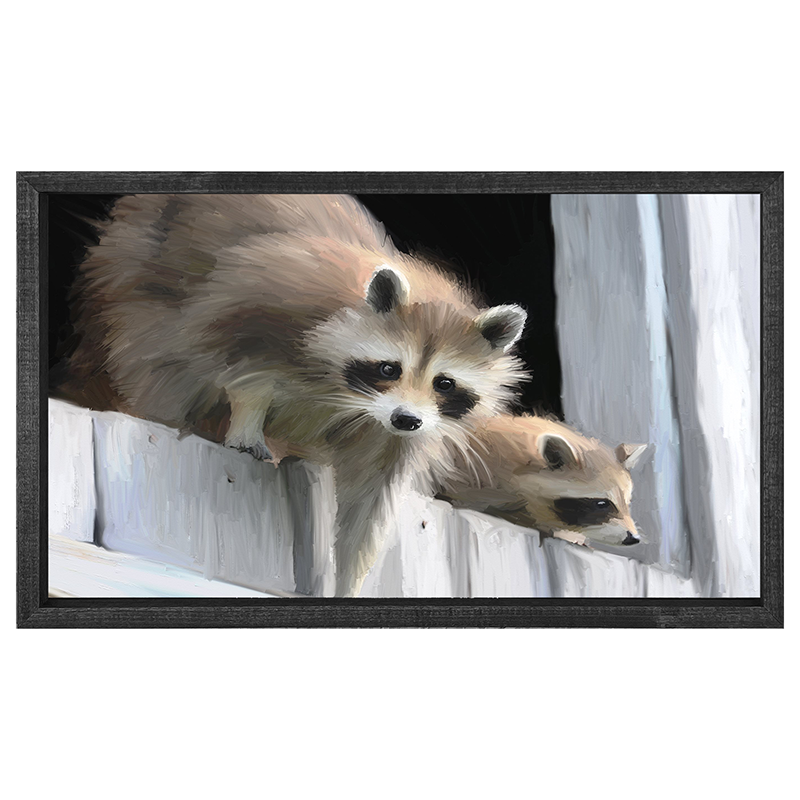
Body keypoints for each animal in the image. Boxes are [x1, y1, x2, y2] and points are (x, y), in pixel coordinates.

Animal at [62, 194, 528, 596]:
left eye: (444, 383)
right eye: (389, 368)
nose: (406, 418)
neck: (351, 394)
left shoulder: (393, 433)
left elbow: (368, 501)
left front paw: (350, 578)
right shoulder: (267, 300)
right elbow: (243, 365)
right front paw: (248, 418)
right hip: (132, 290)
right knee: (158, 371)